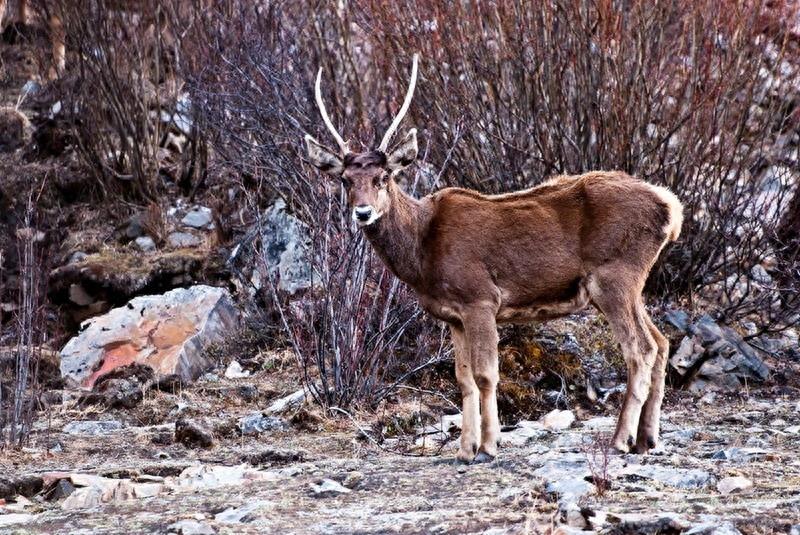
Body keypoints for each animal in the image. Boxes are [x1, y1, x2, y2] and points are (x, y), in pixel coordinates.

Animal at [305, 54, 683, 463]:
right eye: (345, 179)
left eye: (384, 177)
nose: (362, 212)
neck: (422, 253)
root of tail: (670, 209)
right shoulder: (452, 315)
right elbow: (463, 378)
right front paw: (465, 448)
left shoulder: (481, 297)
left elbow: (487, 374)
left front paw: (488, 446)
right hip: (629, 285)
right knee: (662, 342)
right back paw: (647, 438)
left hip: (616, 276)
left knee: (641, 349)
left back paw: (620, 439)